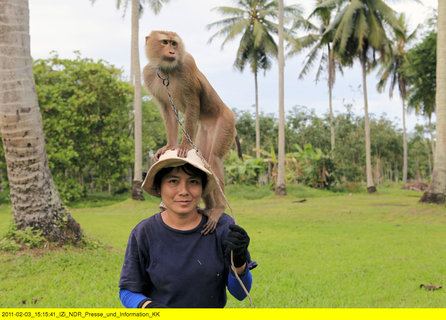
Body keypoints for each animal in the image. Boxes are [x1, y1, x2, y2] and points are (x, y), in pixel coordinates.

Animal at [143, 30, 240, 235]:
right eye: (165, 42)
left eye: (174, 43)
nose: (172, 51)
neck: (167, 70)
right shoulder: (148, 73)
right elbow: (168, 110)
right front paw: (170, 145)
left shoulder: (187, 64)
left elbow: (192, 104)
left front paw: (184, 145)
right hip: (204, 129)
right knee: (204, 161)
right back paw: (209, 208)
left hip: (225, 122)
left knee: (213, 160)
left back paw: (219, 208)